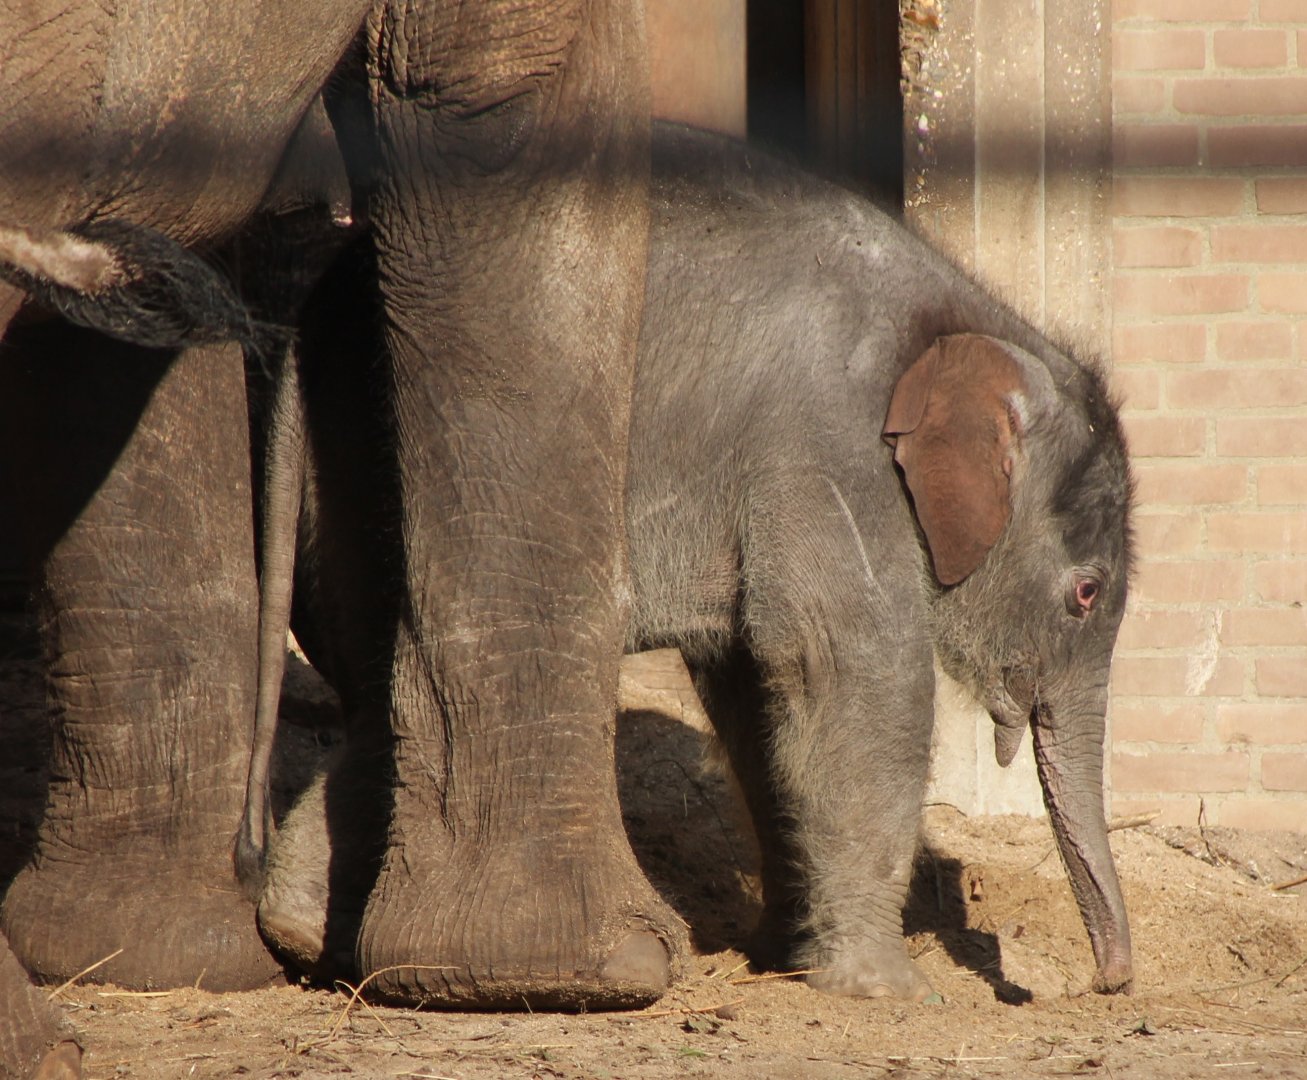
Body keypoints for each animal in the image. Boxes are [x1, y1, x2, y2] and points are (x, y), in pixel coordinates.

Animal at [252, 123, 1135, 1002]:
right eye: (1085, 594)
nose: (1097, 985)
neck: (966, 321)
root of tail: (313, 307)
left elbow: (754, 687)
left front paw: (785, 957)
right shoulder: (824, 449)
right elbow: (844, 665)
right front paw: (894, 995)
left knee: (380, 685)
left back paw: (305, 936)